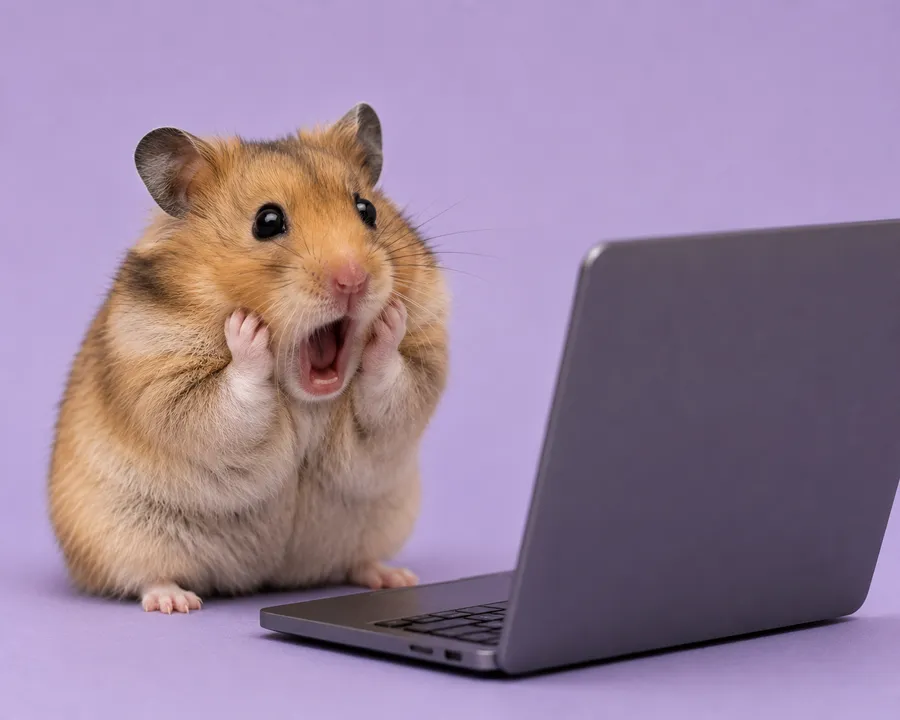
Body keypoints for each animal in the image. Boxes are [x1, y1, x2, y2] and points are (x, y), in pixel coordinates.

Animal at [48, 103, 450, 613]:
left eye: (367, 210)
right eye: (268, 221)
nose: (354, 280)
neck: (304, 396)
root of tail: (261, 579)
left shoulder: (420, 369)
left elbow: (390, 380)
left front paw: (388, 323)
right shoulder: (167, 382)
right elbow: (232, 394)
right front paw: (247, 331)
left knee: (356, 561)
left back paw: (393, 577)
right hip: (119, 535)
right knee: (146, 576)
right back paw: (176, 602)